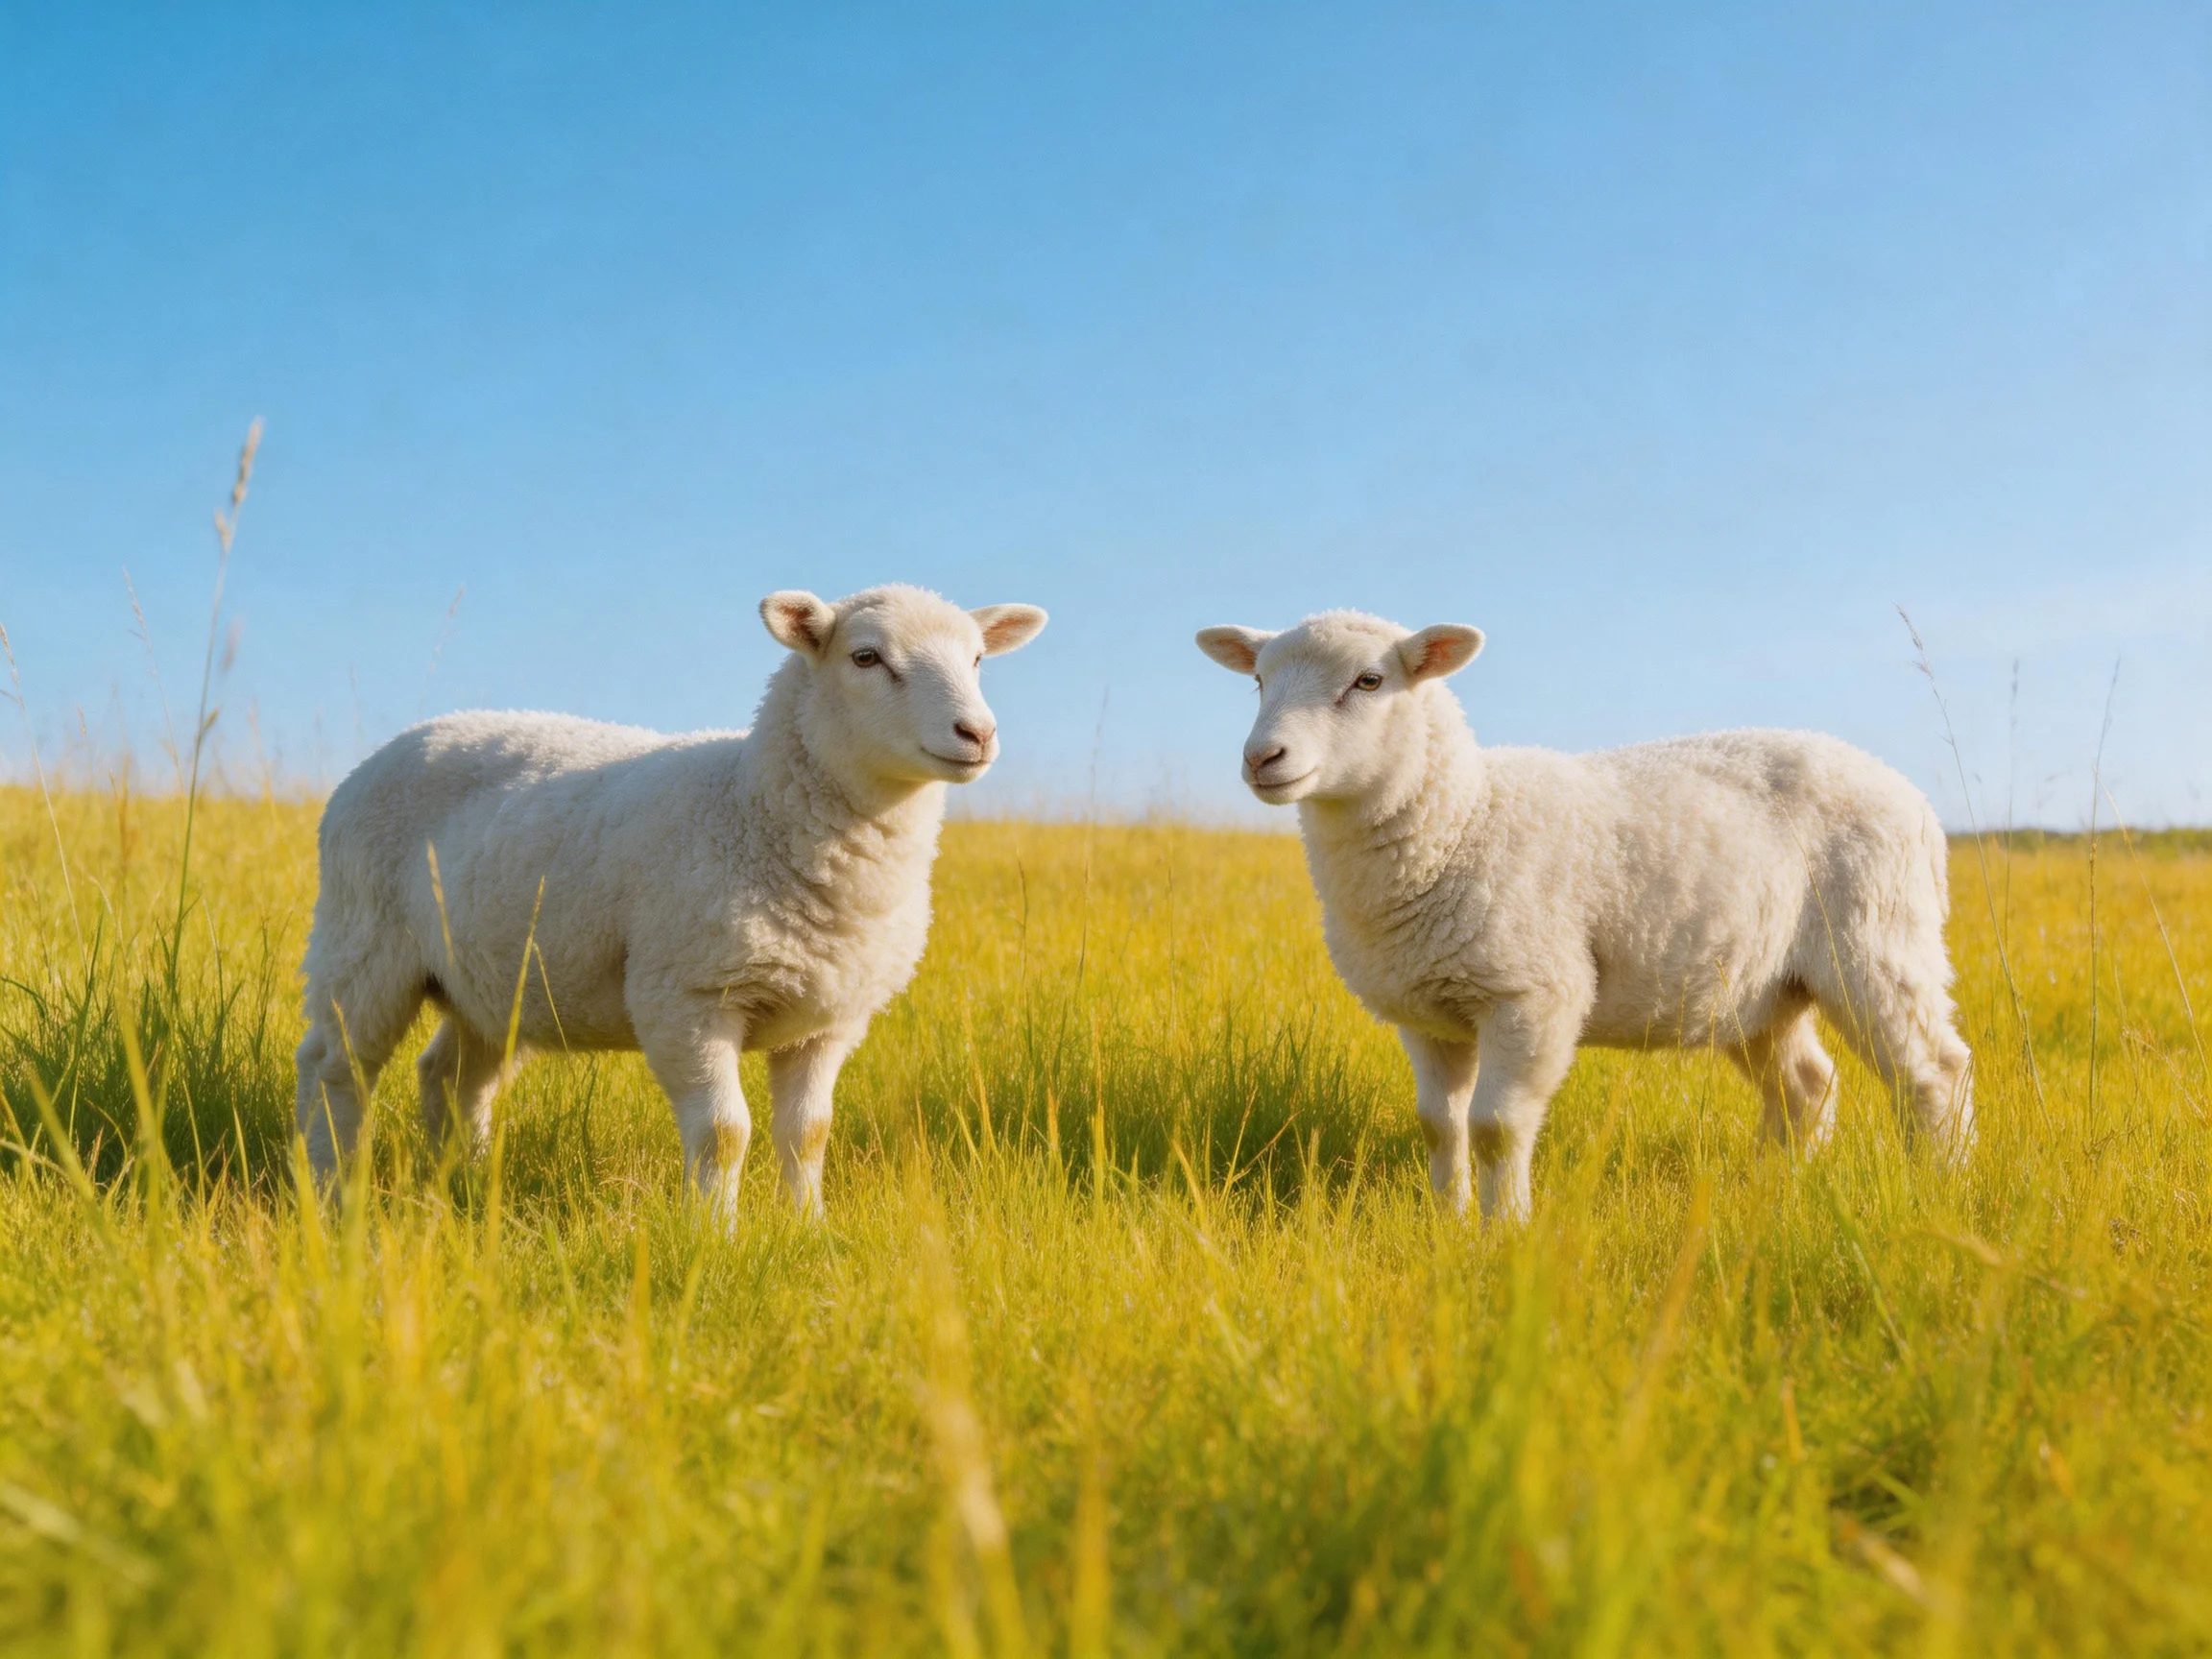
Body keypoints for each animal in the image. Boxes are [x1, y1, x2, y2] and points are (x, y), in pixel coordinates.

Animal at [295, 584, 1047, 1220]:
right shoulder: (686, 996)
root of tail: (387, 752)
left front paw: (809, 1231)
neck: (750, 804)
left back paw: (468, 1185)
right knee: (334, 1069)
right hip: (362, 944)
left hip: (490, 979)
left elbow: (809, 1133)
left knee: (451, 1078)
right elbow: (724, 1132)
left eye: (978, 659)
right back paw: (332, 1194)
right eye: (866, 657)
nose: (977, 734)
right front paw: (716, 1237)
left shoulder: (829, 1017)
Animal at [1195, 610, 1973, 1222]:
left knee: (1934, 1072)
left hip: (1879, 941)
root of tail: (1916, 803)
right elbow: (1438, 1127)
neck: (1462, 819)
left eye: (1369, 682)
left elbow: (1496, 1127)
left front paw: (1503, 1234)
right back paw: (1772, 1190)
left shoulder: (1532, 994)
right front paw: (1446, 1225)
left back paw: (1938, 1189)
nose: (1263, 758)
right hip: (1764, 988)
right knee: (1807, 1086)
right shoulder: (1425, 1011)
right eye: (1259, 681)